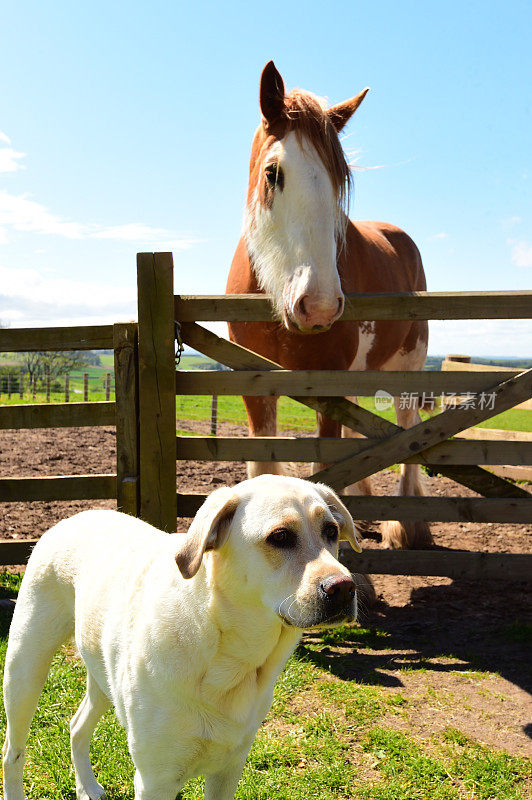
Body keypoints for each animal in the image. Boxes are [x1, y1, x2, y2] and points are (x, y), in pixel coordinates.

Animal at [2, 476, 362, 800]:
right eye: (281, 536)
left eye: (331, 532)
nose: (345, 587)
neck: (225, 653)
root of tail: (73, 517)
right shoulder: (155, 781)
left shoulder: (228, 770)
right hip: (25, 668)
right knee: (12, 752)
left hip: (103, 676)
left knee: (76, 725)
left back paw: (87, 787)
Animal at [227, 62, 430, 552]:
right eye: (273, 173)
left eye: (339, 183)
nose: (317, 304)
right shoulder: (252, 383)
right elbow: (264, 466)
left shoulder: (326, 384)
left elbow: (323, 470)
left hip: (409, 366)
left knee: (409, 425)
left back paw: (408, 526)